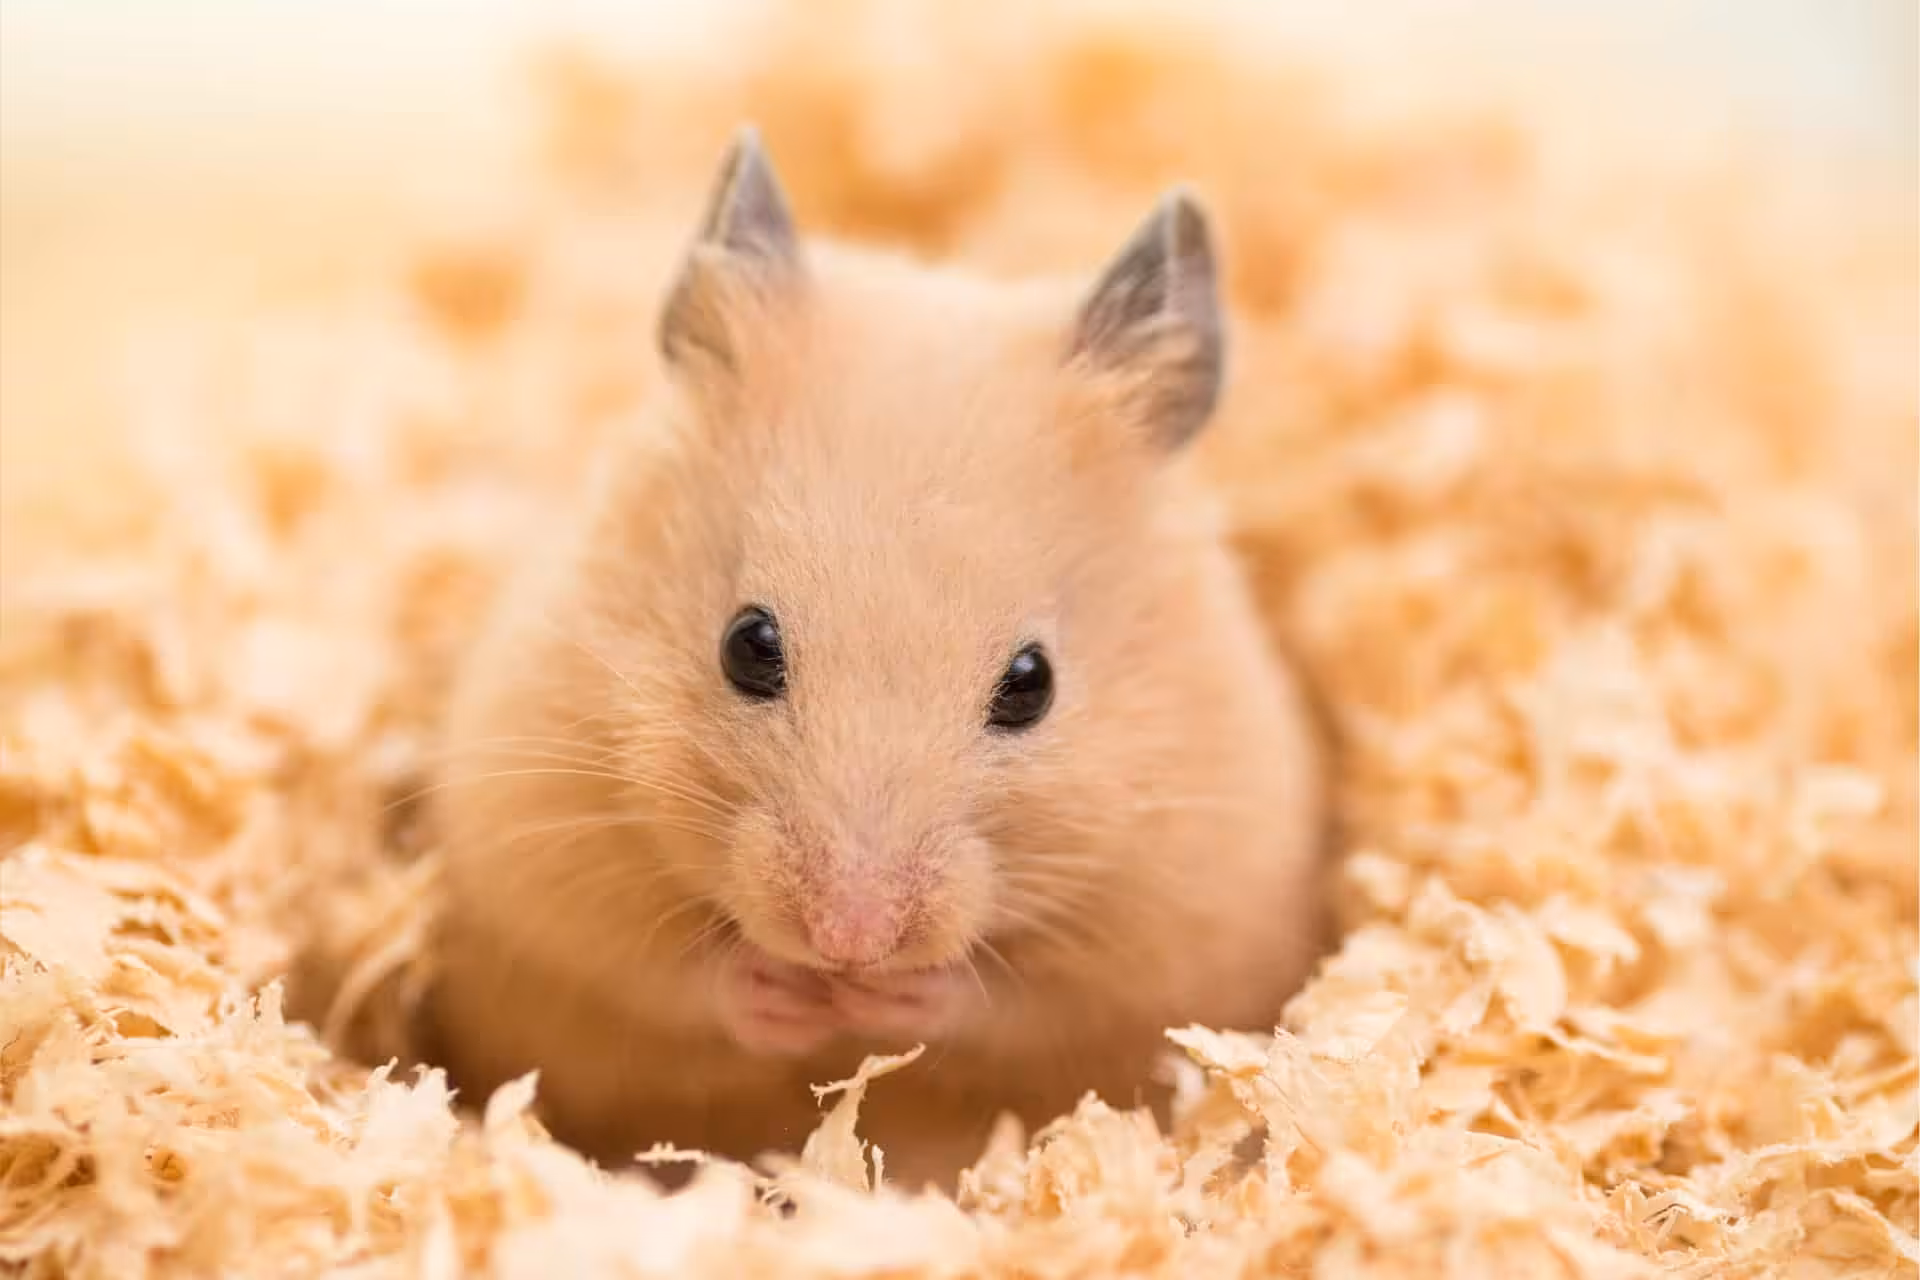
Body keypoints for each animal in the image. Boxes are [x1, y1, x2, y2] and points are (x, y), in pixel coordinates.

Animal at [422, 127, 1328, 1188]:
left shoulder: (1185, 916)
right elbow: (658, 969)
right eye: (748, 644)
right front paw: (787, 994)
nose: (847, 942)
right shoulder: (536, 836)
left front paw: (887, 1001)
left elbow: (1023, 1005)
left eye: (1032, 684)